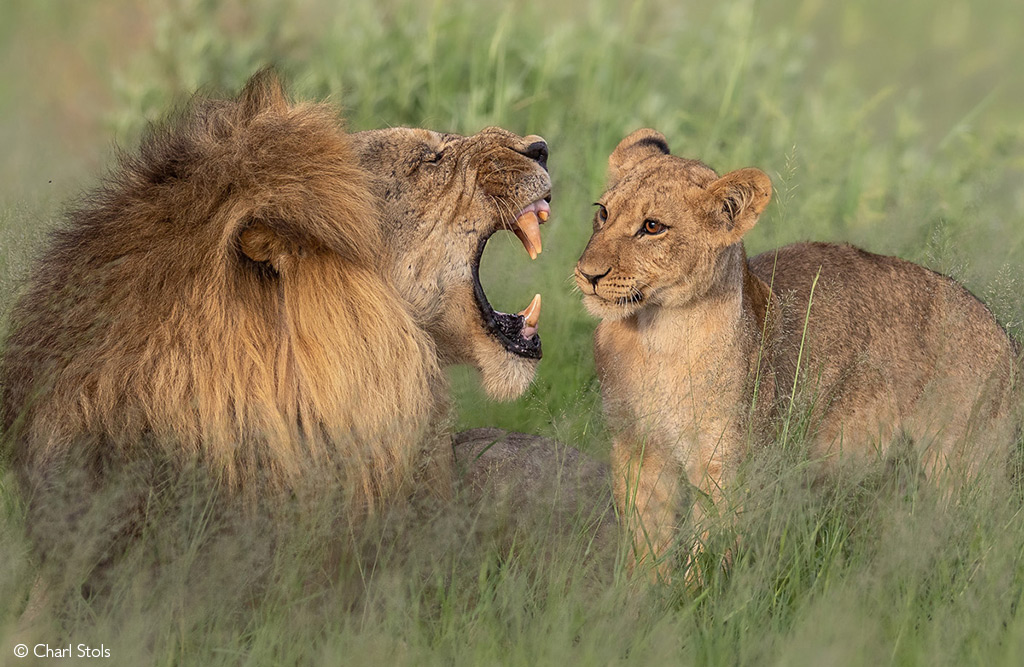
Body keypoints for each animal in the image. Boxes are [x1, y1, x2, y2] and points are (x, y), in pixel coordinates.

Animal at [577, 128, 1015, 581]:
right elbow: (646, 537)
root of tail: (1000, 329)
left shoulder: (726, 460)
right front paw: (640, 594)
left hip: (961, 461)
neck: (658, 336)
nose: (588, 273)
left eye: (652, 226)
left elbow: (710, 546)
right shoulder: (637, 446)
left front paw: (692, 594)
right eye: (603, 214)